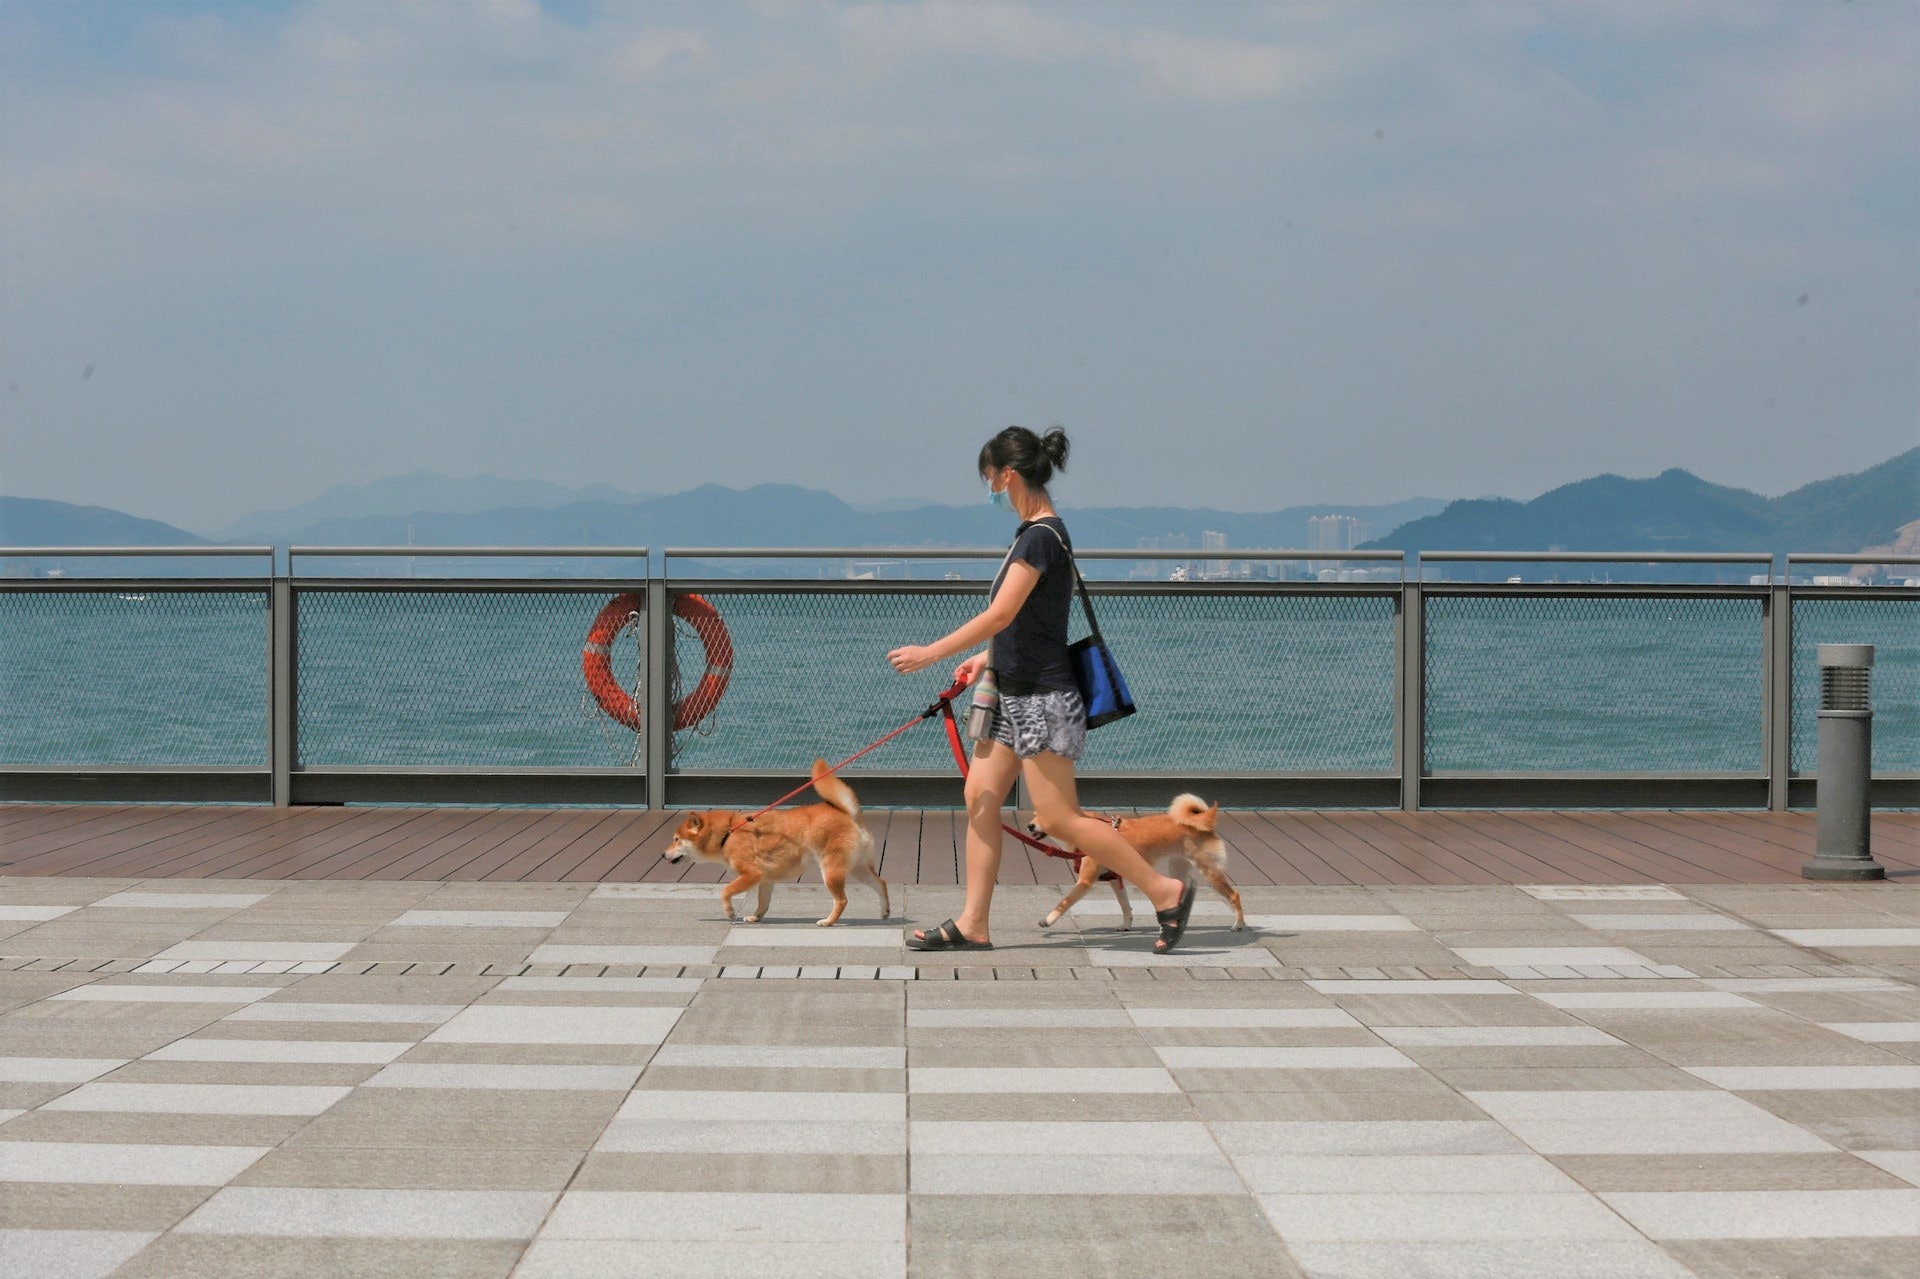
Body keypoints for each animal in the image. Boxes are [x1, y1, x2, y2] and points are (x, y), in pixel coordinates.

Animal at [664, 756, 887, 925]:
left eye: (676, 839)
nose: (663, 854)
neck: (728, 833)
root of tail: (850, 815)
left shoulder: (751, 874)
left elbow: (725, 891)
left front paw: (729, 911)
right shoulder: (765, 879)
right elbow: (763, 903)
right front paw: (755, 917)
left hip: (831, 872)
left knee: (842, 900)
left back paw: (828, 921)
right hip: (858, 869)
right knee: (881, 884)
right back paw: (885, 911)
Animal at [1036, 791, 1244, 933]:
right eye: (1035, 815)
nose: (1030, 826)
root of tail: (1204, 823)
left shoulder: (1085, 882)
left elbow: (1064, 903)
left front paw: (1048, 920)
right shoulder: (1114, 879)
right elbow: (1125, 905)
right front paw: (1126, 925)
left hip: (1209, 871)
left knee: (1234, 895)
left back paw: (1239, 924)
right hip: (1177, 868)